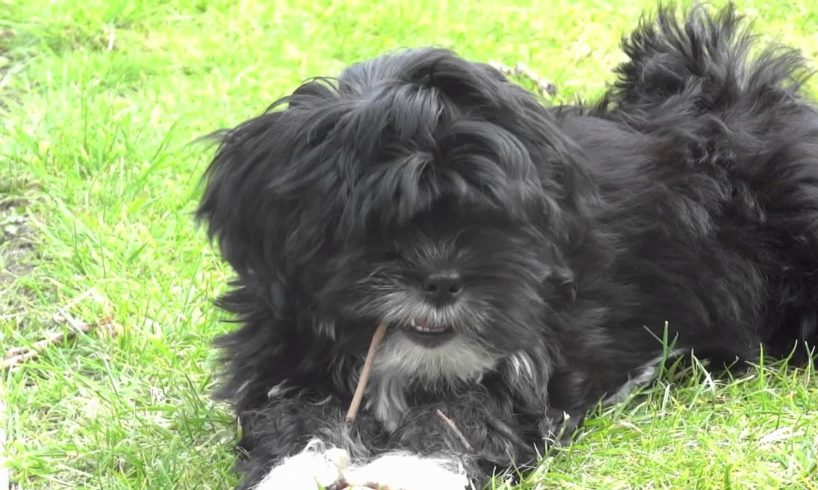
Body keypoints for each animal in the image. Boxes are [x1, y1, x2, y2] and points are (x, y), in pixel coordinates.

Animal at [198, 4, 816, 490]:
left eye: (492, 218)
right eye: (372, 220)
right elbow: (289, 415)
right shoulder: (283, 352)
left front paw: (406, 470)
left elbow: (465, 415)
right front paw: (295, 471)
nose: (442, 282)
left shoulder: (533, 359)